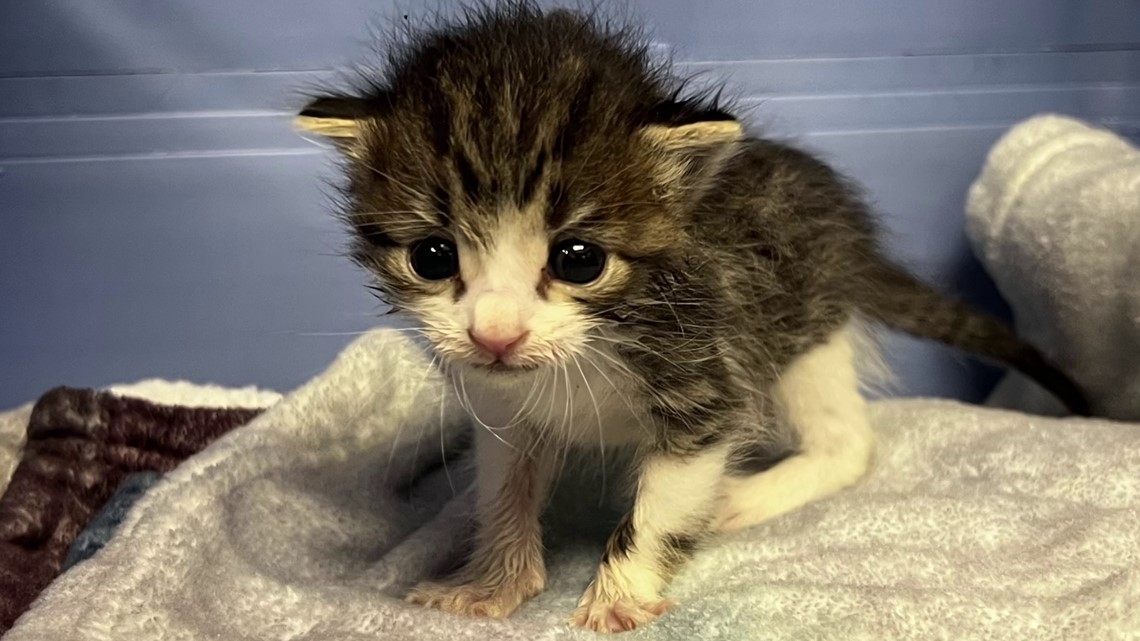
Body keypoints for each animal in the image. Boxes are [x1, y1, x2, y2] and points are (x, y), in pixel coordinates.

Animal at [294, 2, 1085, 629]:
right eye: (432, 256)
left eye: (579, 259)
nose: (496, 333)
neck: (600, 337)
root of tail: (852, 233)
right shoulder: (502, 401)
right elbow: (504, 483)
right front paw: (493, 583)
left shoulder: (709, 375)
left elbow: (661, 501)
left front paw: (620, 593)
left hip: (804, 328)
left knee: (849, 441)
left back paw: (742, 496)